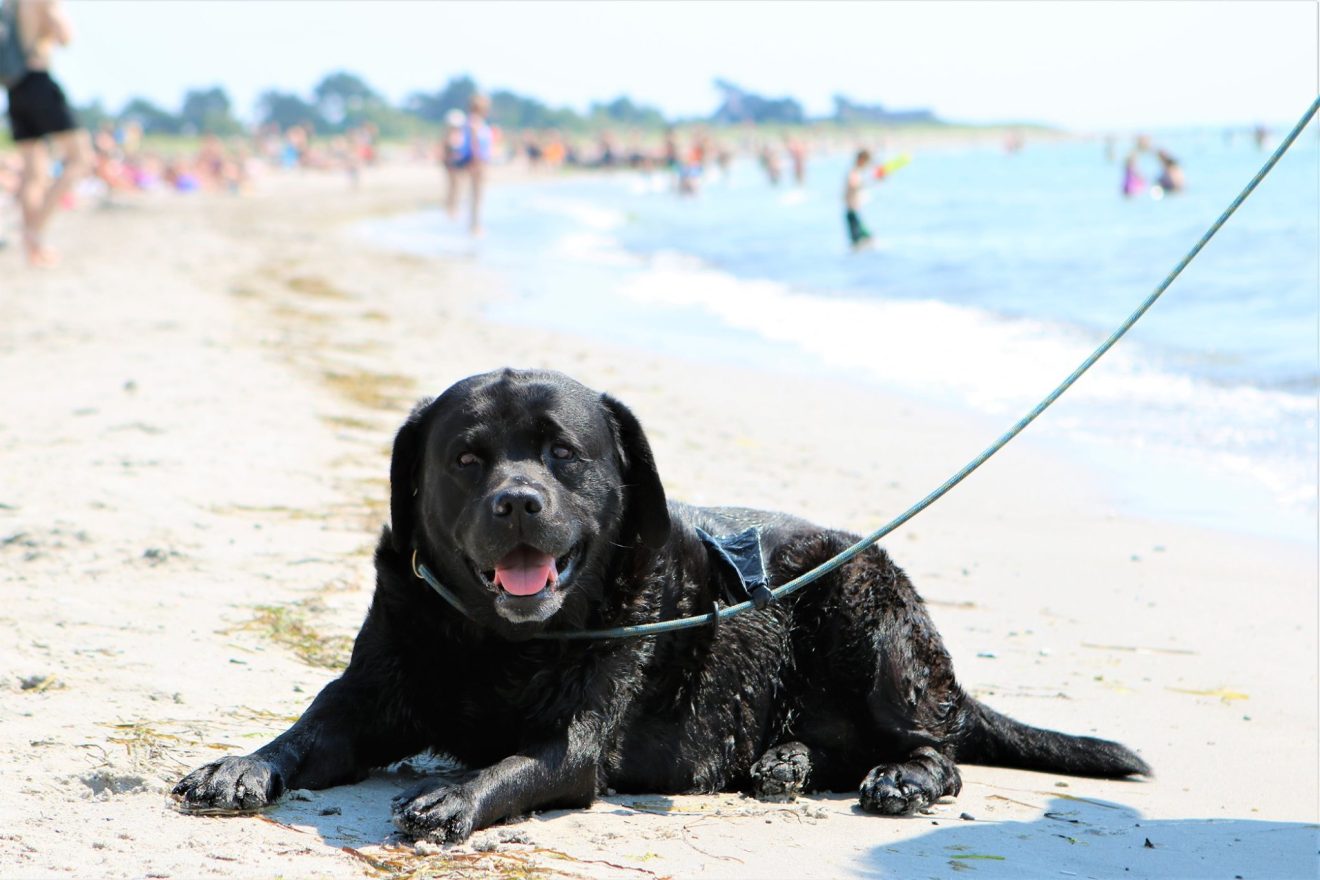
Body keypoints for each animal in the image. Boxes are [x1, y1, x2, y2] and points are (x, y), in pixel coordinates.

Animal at [172, 366, 1145, 839]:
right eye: (466, 457)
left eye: (562, 453)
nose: (516, 502)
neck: (498, 643)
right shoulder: (368, 695)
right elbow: (306, 731)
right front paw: (242, 765)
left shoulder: (573, 739)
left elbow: (518, 762)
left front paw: (457, 794)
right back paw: (787, 761)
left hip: (870, 618)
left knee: (938, 749)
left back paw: (900, 777)